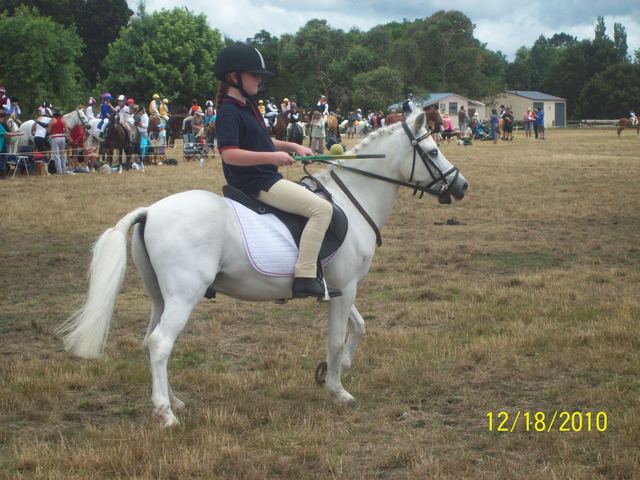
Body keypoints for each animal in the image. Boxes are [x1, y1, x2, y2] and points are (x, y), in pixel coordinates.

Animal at [57, 111, 468, 428]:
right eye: (432, 151)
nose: (461, 186)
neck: (354, 201)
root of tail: (150, 211)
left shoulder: (337, 286)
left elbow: (359, 326)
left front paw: (334, 369)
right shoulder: (347, 286)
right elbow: (336, 338)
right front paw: (338, 390)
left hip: (161, 296)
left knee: (150, 342)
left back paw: (174, 402)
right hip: (183, 295)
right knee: (160, 344)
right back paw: (166, 415)